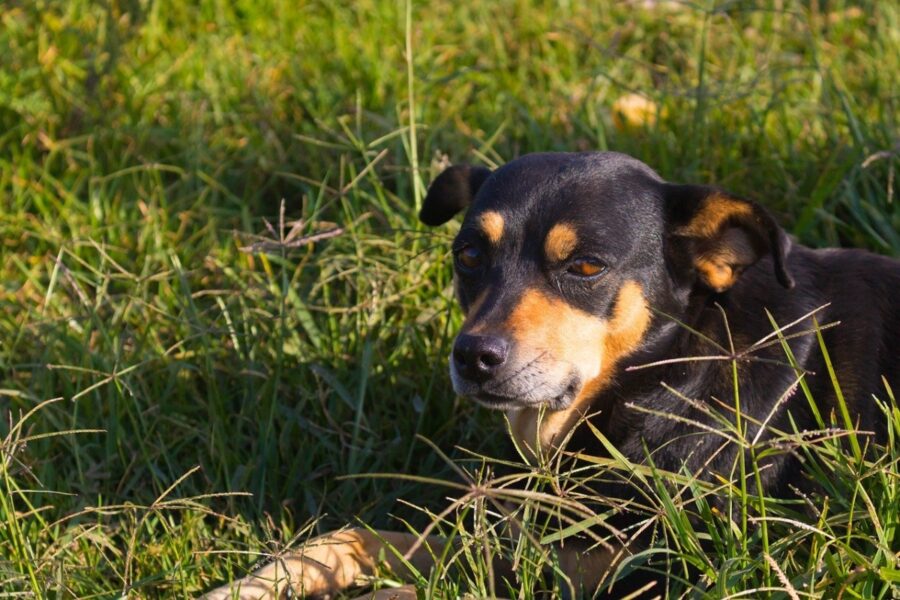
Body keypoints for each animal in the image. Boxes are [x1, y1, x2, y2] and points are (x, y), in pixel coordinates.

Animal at [204, 152, 900, 596]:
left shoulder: (651, 565)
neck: (666, 370)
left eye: (586, 267)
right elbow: (353, 536)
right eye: (468, 255)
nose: (474, 357)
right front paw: (256, 583)